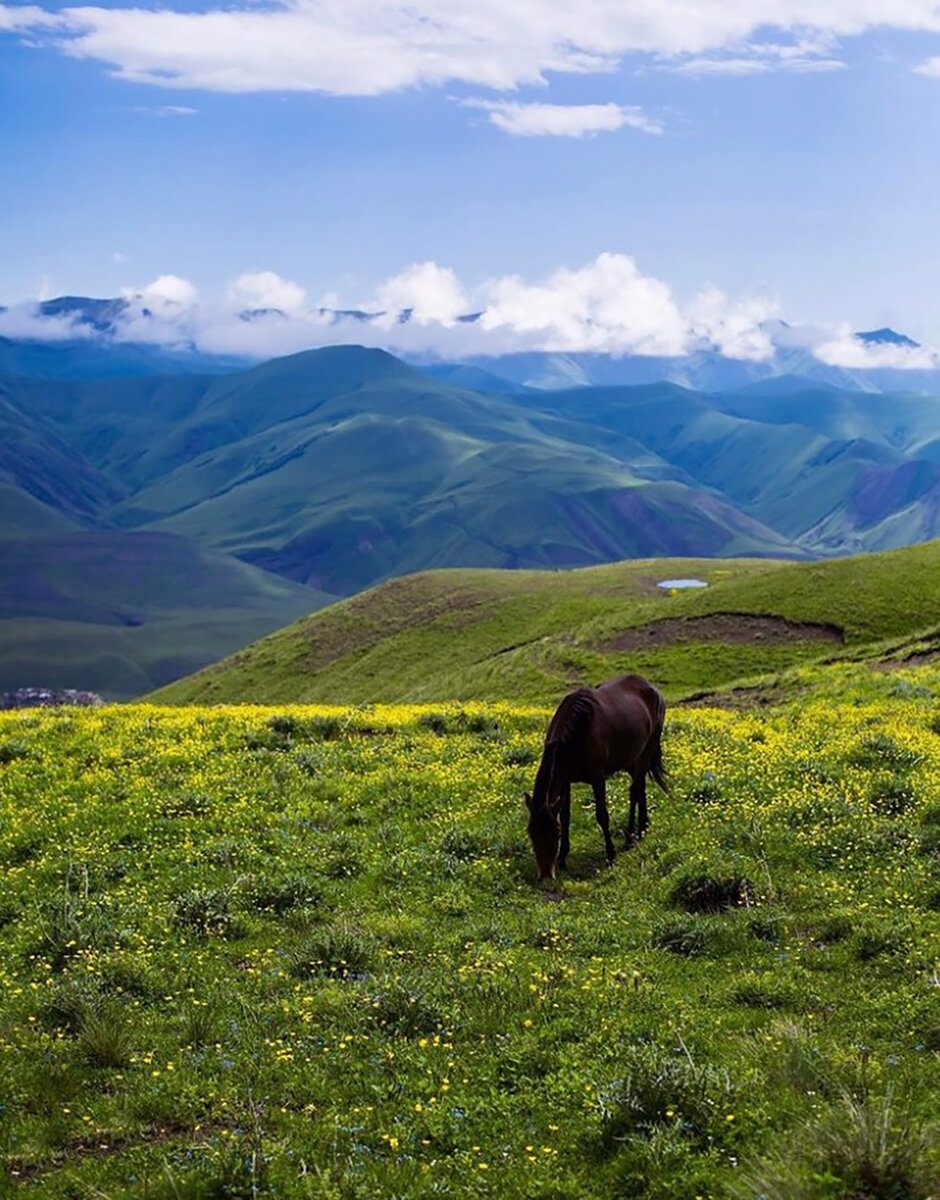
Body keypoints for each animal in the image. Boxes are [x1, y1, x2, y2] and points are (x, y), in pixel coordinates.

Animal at [521, 676, 667, 883]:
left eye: (555, 833)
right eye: (531, 833)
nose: (546, 875)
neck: (576, 734)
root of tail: (650, 688)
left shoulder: (598, 778)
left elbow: (602, 816)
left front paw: (611, 855)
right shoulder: (565, 781)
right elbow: (565, 816)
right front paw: (563, 858)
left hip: (645, 753)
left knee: (637, 789)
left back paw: (636, 834)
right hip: (631, 759)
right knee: (638, 789)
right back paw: (637, 833)